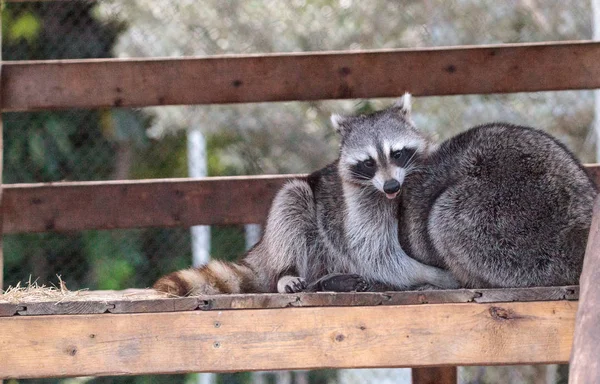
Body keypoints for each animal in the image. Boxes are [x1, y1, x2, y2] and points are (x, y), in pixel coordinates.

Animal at [155, 94, 460, 296]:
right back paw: (287, 274)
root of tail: (262, 251)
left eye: (397, 153)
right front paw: (434, 274)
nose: (391, 187)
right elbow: (375, 252)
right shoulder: (360, 200)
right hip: (293, 235)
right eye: (368, 162)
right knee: (292, 199)